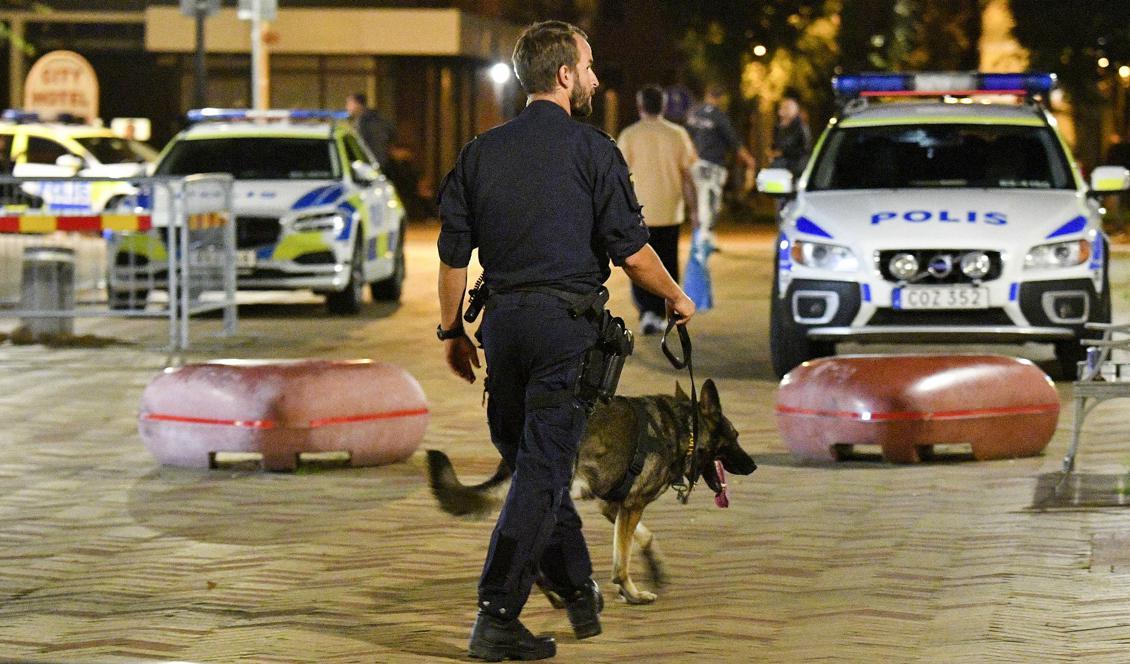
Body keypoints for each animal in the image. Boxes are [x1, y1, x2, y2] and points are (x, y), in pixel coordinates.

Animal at [427, 379, 754, 600]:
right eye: (736, 436)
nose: (753, 466)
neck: (684, 430)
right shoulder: (632, 506)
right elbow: (622, 560)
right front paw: (631, 592)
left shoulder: (614, 506)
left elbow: (643, 537)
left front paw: (654, 569)